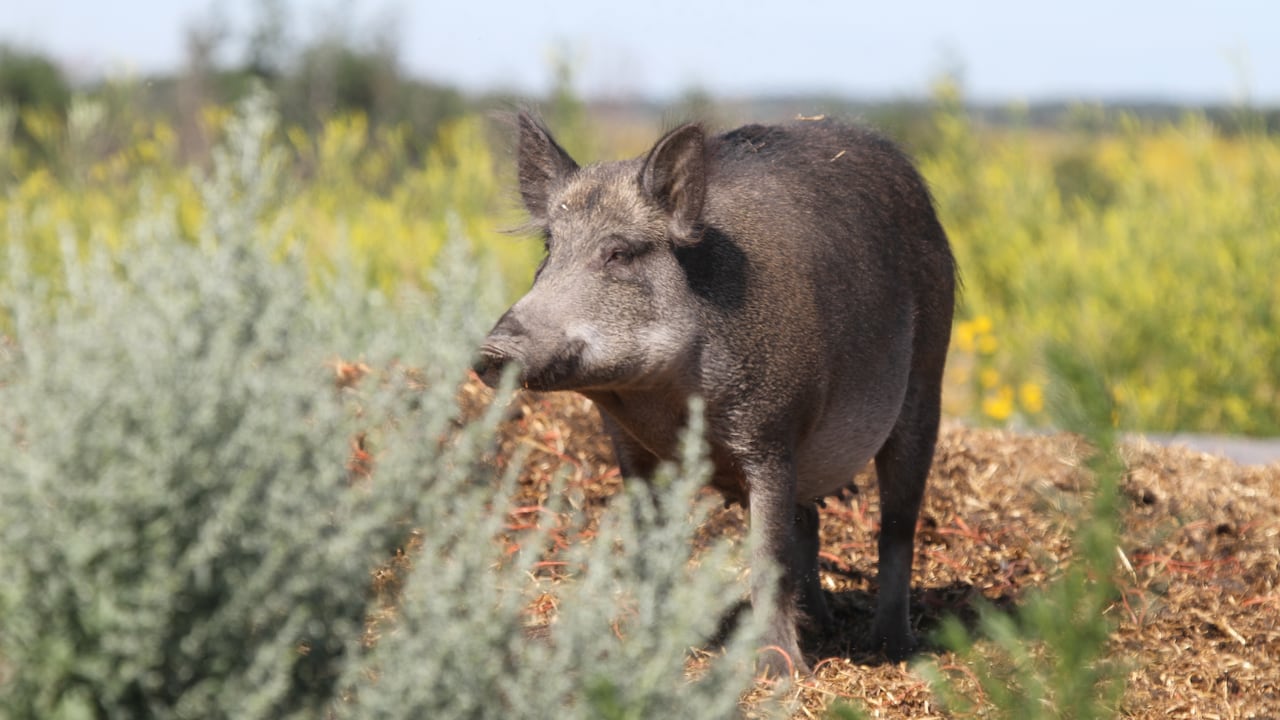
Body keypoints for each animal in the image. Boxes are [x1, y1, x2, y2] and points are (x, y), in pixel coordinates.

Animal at [476, 112, 956, 675]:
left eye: (618, 253)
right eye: (550, 247)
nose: (493, 349)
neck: (665, 400)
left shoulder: (771, 432)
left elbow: (767, 554)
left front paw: (777, 673)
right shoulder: (629, 447)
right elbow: (651, 548)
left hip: (927, 380)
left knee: (897, 525)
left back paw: (892, 649)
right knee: (810, 521)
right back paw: (821, 626)